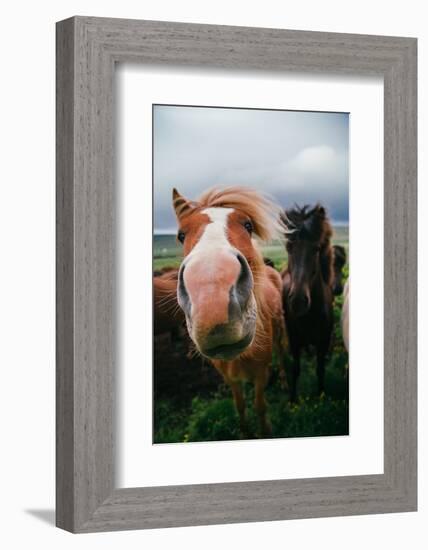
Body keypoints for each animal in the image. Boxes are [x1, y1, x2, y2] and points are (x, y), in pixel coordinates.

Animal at [171, 188, 288, 438]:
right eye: (181, 235)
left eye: (248, 225)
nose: (212, 301)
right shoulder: (231, 379)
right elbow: (240, 406)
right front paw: (245, 433)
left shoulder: (260, 373)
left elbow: (260, 405)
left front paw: (265, 432)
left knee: (282, 353)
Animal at [280, 205, 334, 404]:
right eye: (289, 247)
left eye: (316, 249)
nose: (298, 301)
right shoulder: (294, 341)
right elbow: (295, 369)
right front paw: (292, 400)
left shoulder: (324, 342)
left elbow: (320, 369)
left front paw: (321, 396)